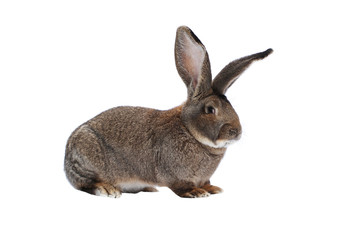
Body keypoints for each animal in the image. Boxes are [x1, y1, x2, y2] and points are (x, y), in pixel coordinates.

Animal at [65, 25, 274, 199]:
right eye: (210, 109)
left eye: (231, 105)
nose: (236, 132)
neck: (189, 130)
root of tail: (66, 157)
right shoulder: (174, 174)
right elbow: (180, 186)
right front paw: (197, 192)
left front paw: (212, 188)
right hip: (87, 160)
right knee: (85, 184)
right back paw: (107, 189)